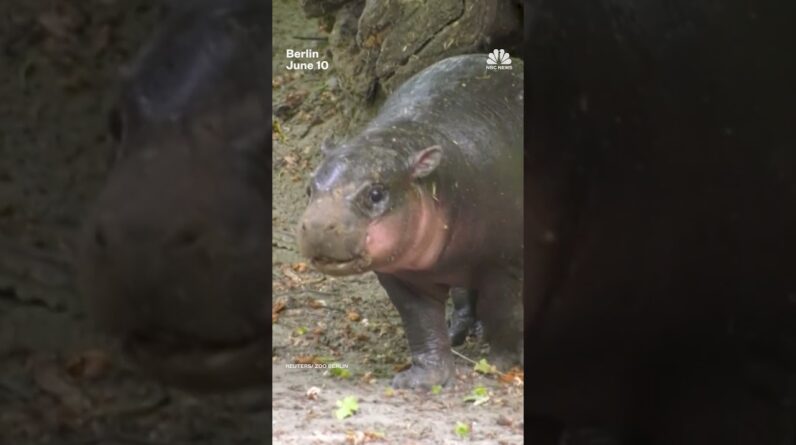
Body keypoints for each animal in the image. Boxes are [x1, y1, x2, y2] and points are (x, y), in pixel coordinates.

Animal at [297, 54, 524, 389]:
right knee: (463, 296)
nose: (317, 226)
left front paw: (499, 365)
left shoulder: (503, 265)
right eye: (310, 187)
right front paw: (421, 380)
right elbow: (421, 322)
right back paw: (457, 333)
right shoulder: (401, 274)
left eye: (376, 193)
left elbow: (504, 314)